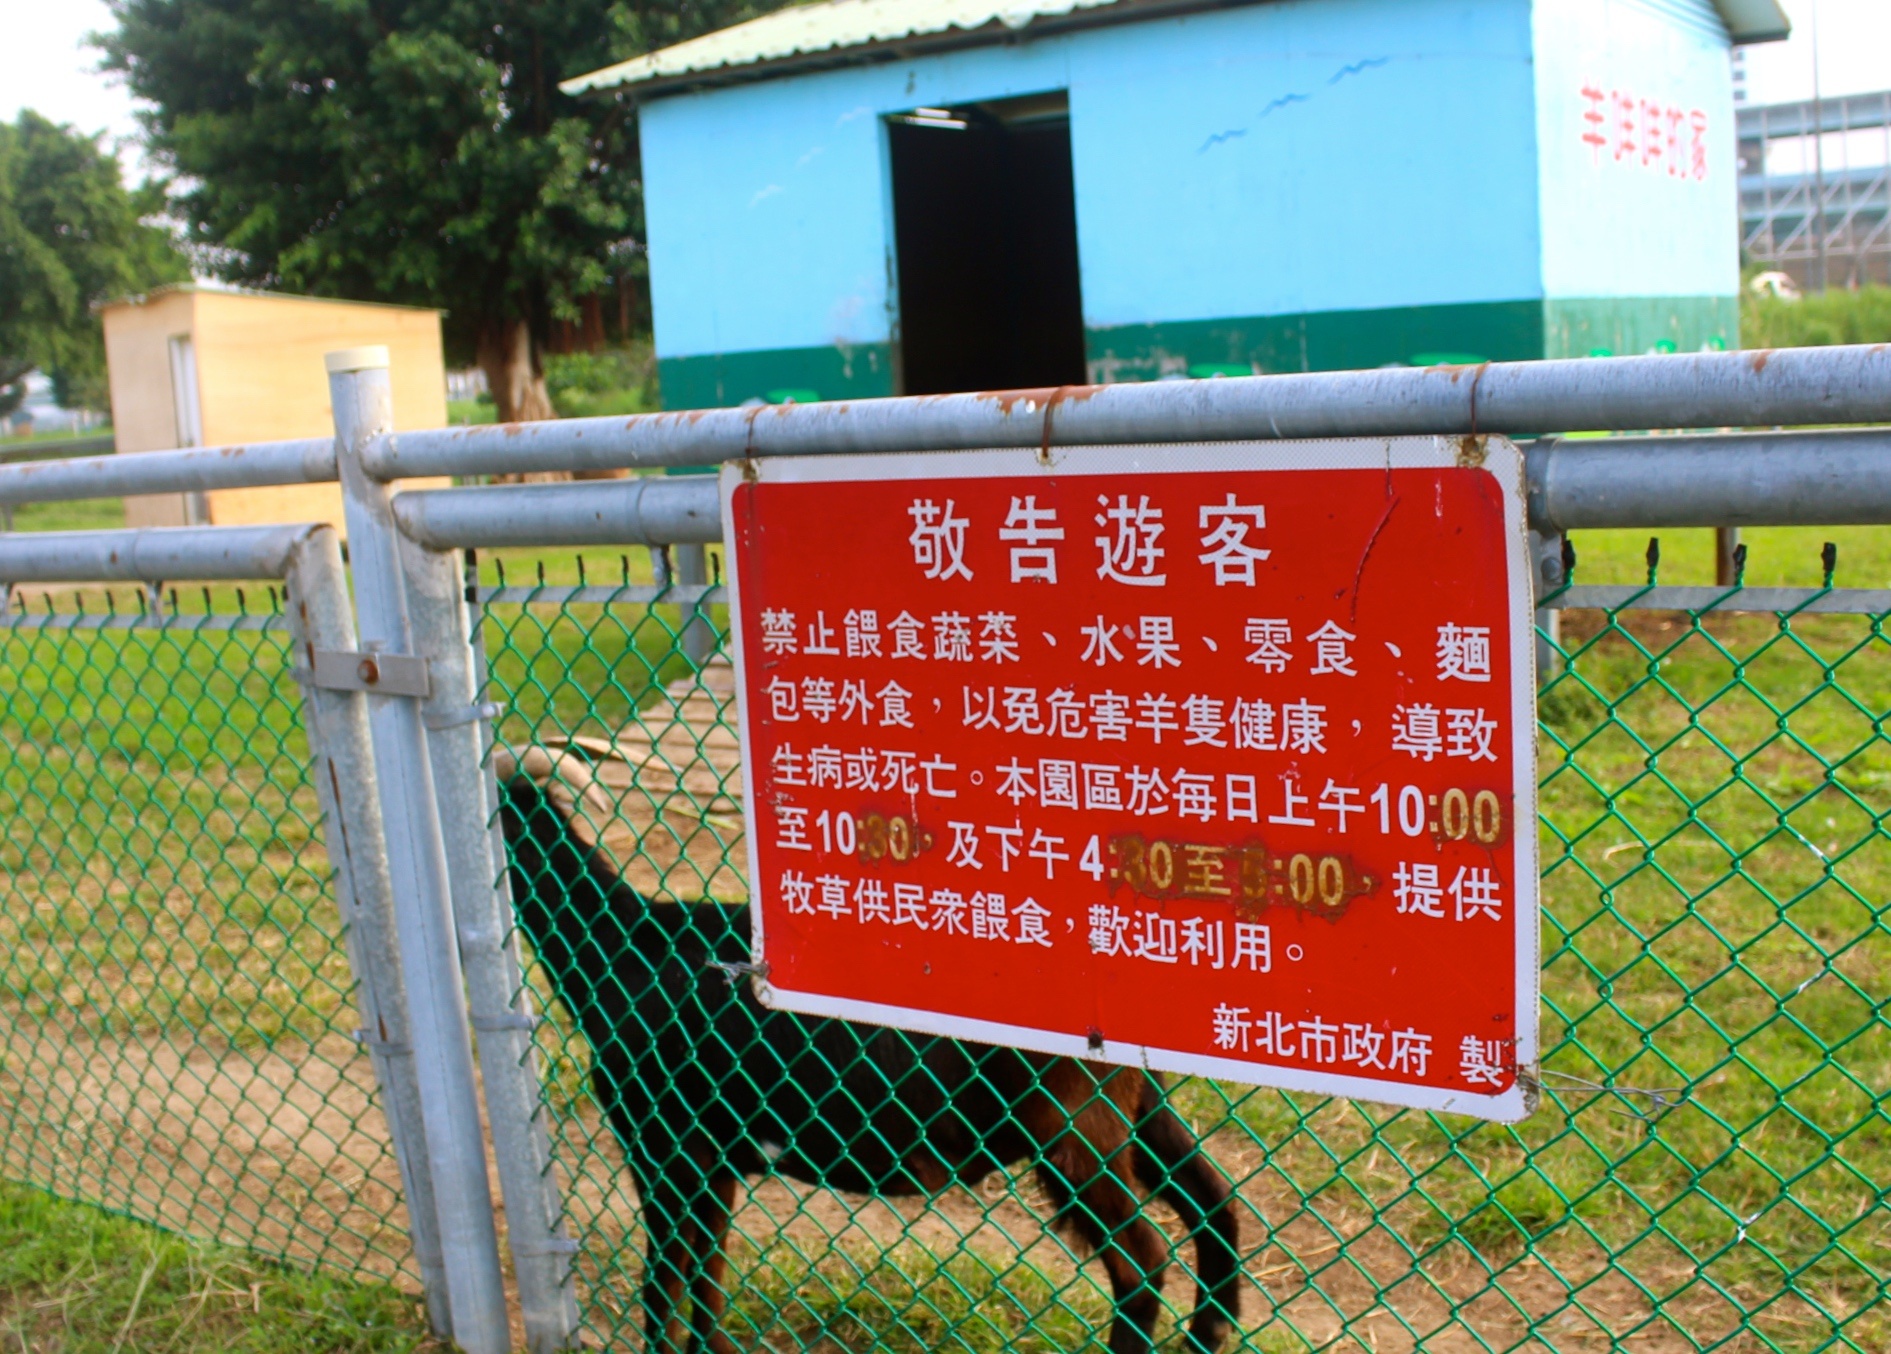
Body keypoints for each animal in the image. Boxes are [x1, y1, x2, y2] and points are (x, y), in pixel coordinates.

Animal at [503, 752, 1240, 1354]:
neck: (625, 945)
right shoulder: (716, 1163)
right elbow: (707, 1279)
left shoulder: (663, 1150)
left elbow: (664, 1283)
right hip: (1132, 1106)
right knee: (1210, 1195)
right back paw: (1210, 1330)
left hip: (1071, 1127)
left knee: (1141, 1261)